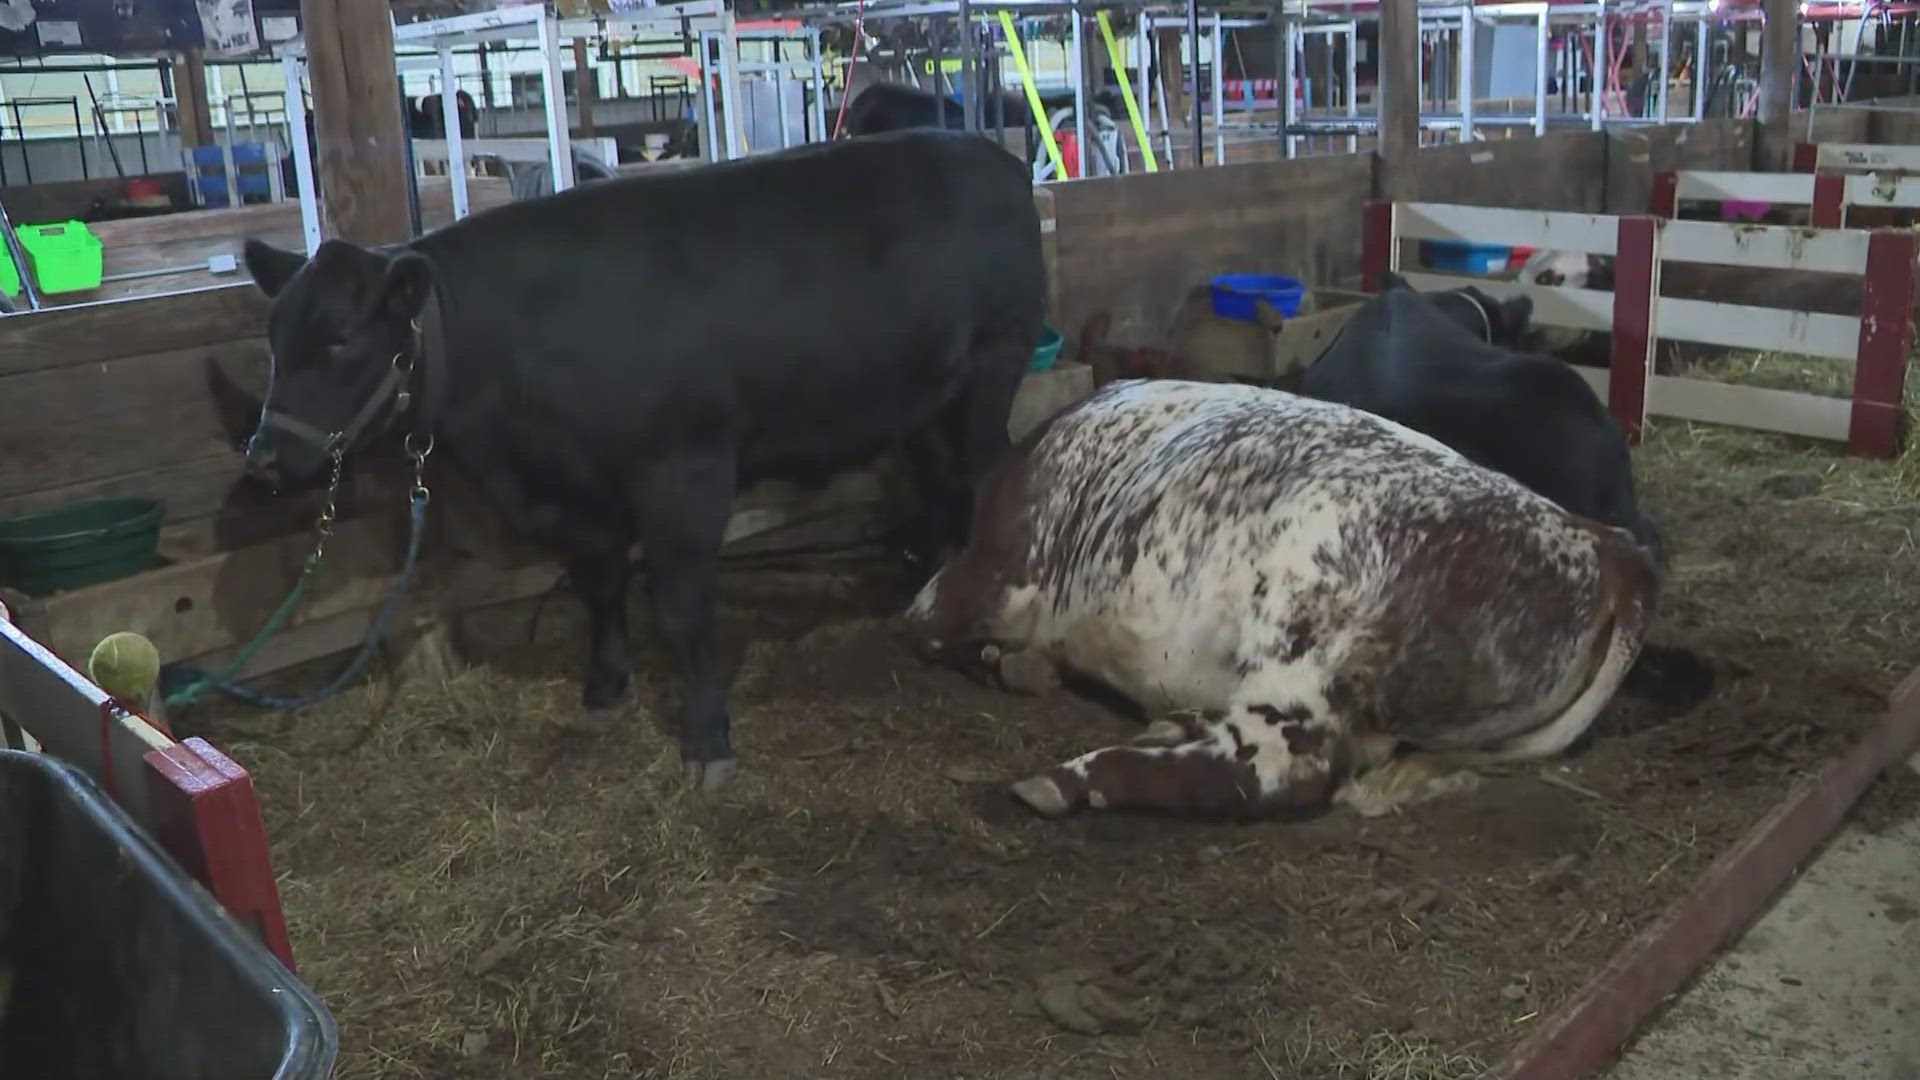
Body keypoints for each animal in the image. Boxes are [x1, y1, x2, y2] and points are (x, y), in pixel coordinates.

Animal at [243, 132, 1052, 791]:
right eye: (274, 337)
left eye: (341, 338)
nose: (266, 459)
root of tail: (991, 155)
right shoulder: (579, 493)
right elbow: (601, 588)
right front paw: (604, 693)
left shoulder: (684, 471)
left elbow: (683, 610)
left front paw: (707, 740)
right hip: (924, 403)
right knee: (942, 481)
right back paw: (927, 588)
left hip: (994, 364)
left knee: (984, 475)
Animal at [906, 378, 1658, 814]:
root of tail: (1607, 544)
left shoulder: (986, 576)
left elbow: (928, 631)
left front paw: (1012, 665)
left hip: (1304, 648)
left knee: (1278, 769)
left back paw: (1080, 777)